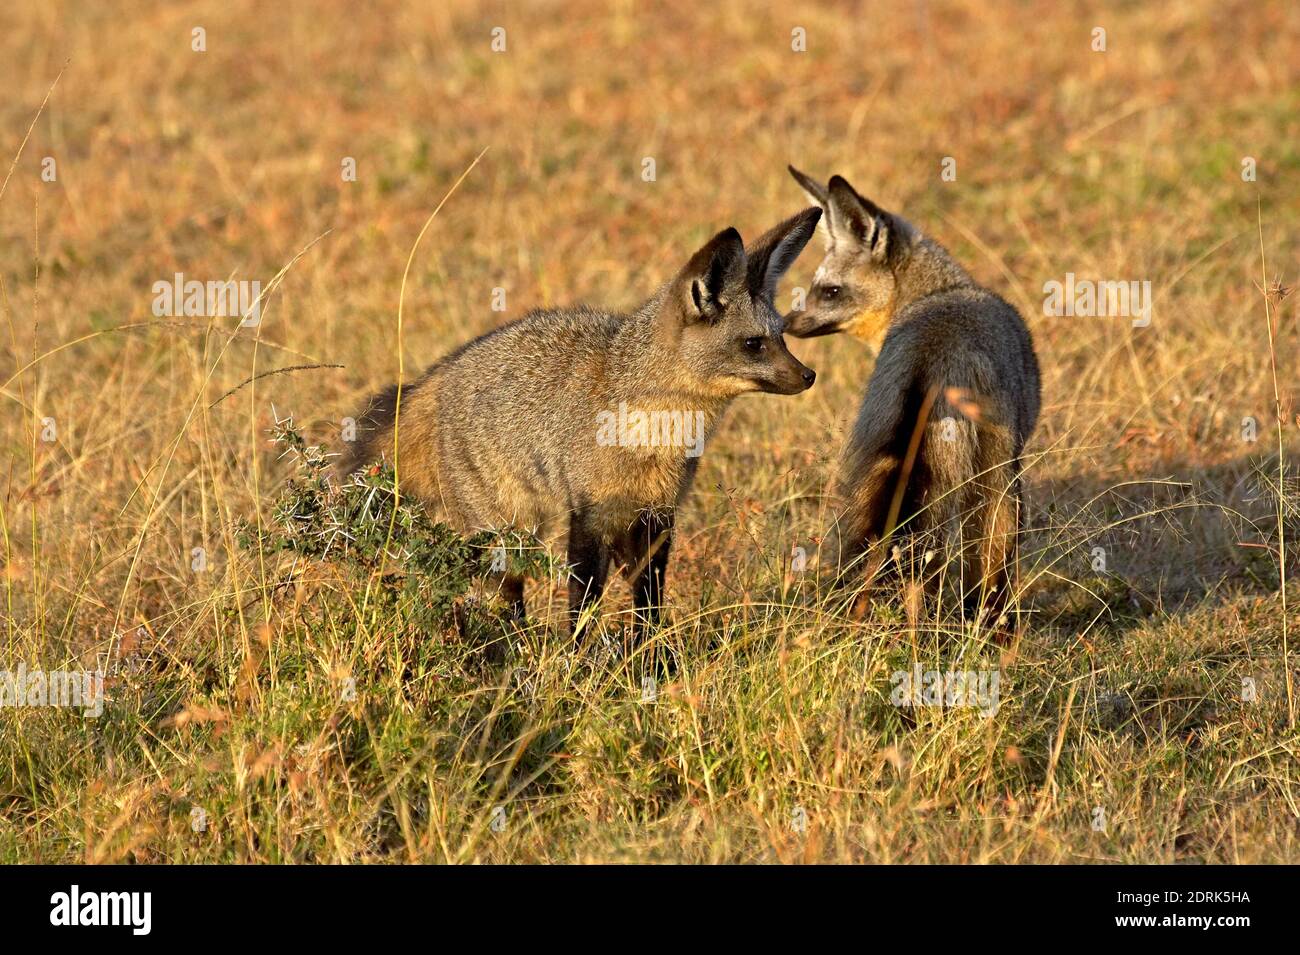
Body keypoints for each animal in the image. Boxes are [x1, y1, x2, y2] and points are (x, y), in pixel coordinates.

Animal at [342, 206, 823, 642]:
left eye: (782, 337)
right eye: (753, 344)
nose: (809, 376)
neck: (654, 434)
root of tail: (443, 371)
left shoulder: (655, 516)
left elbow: (647, 605)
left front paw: (648, 658)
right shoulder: (590, 514)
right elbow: (582, 602)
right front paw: (575, 661)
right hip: (505, 535)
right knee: (505, 595)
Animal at [784, 167, 1040, 636]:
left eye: (829, 292)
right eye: (817, 288)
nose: (787, 324)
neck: (939, 293)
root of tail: (931, 352)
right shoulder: (1007, 462)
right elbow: (989, 559)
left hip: (869, 470)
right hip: (986, 479)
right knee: (964, 559)